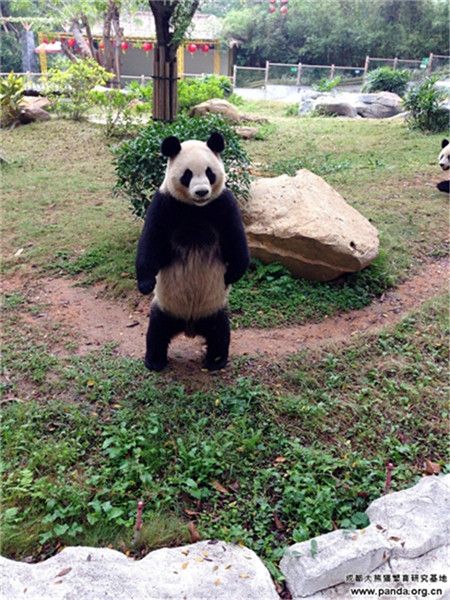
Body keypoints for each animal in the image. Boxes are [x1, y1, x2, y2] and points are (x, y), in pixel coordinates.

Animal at [135, 131, 251, 370]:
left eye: (209, 173)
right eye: (187, 175)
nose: (202, 191)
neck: (196, 208)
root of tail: (190, 325)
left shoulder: (223, 204)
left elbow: (236, 241)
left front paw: (231, 275)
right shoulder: (165, 203)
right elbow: (151, 242)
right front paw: (145, 284)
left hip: (215, 307)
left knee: (220, 332)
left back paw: (216, 361)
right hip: (165, 306)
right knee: (157, 331)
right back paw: (154, 361)